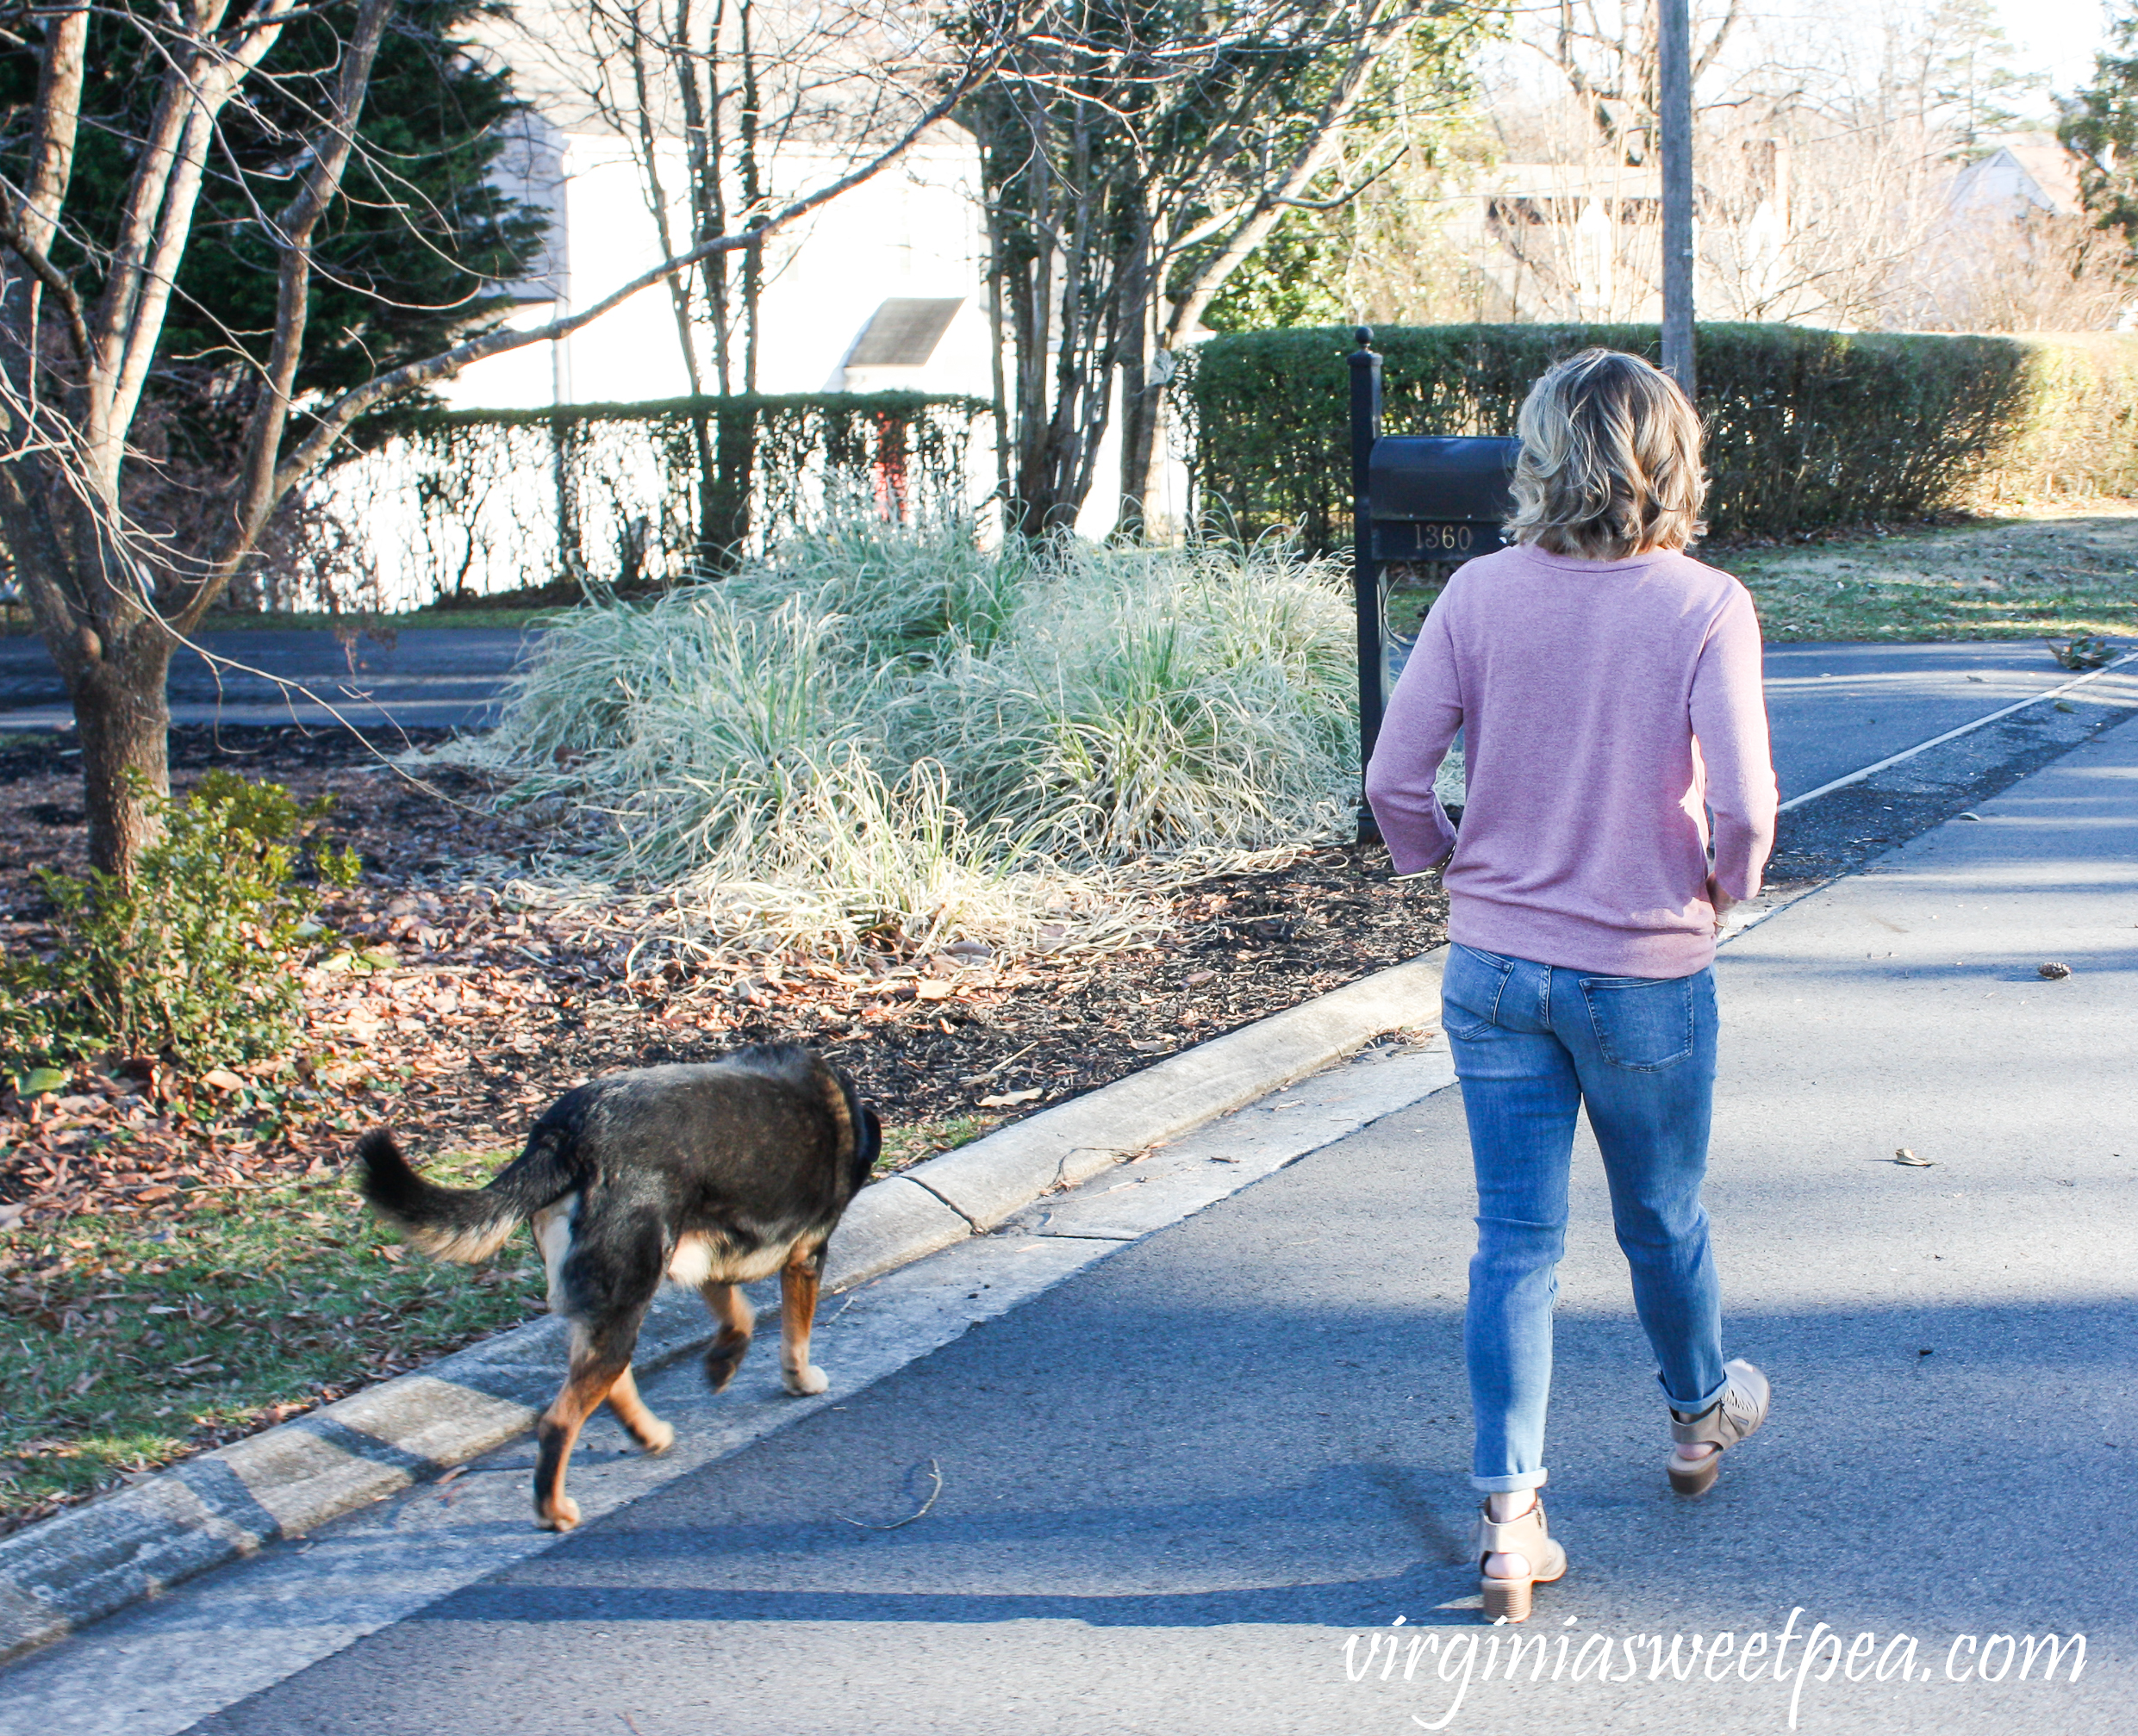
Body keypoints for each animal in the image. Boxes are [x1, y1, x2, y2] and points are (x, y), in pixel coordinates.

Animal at [350, 1039, 876, 1521]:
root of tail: (566, 1136)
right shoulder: (805, 1258)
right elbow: (795, 1336)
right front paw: (800, 1380)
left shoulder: (701, 1255)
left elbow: (737, 1311)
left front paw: (724, 1360)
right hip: (624, 1297)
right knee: (559, 1420)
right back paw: (554, 1510)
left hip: (612, 1302)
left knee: (611, 1383)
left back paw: (649, 1434)